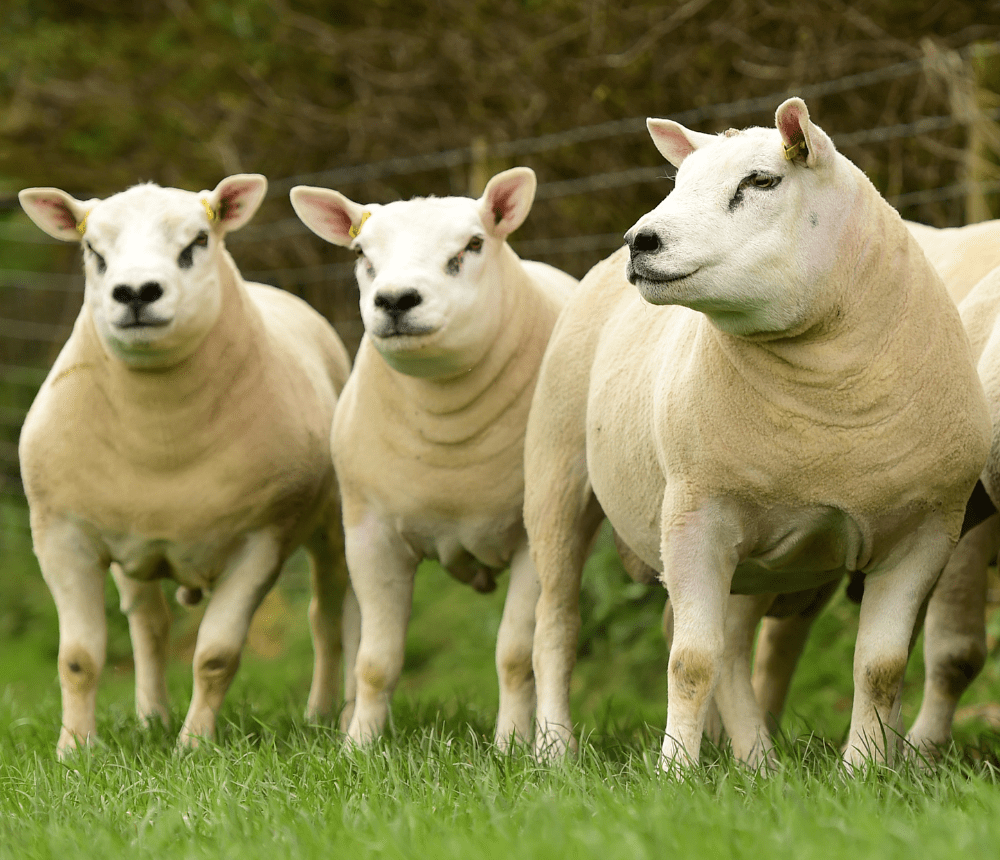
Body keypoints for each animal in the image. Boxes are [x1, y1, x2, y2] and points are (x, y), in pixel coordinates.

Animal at [17, 175, 356, 757]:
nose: (135, 293)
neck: (161, 440)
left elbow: (215, 656)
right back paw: (150, 716)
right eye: (93, 250)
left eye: (198, 240)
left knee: (328, 619)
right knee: (149, 624)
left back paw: (321, 716)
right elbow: (79, 658)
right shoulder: (63, 536)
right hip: (133, 549)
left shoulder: (259, 543)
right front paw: (74, 751)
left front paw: (193, 747)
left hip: (330, 526)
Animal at [289, 168, 577, 748]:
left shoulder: (529, 539)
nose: (396, 300)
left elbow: (514, 656)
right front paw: (359, 747)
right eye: (361, 252)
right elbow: (375, 661)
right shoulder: (370, 536)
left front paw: (510, 746)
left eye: (473, 244)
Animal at [524, 98, 990, 771]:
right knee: (558, 625)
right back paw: (554, 749)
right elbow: (691, 662)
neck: (826, 410)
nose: (641, 241)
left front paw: (863, 771)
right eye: (679, 184)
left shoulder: (926, 533)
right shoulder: (695, 517)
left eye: (762, 181)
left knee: (735, 648)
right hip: (558, 478)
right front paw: (673, 772)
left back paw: (756, 763)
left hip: (753, 555)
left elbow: (880, 667)